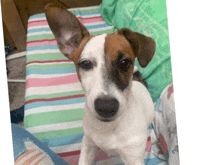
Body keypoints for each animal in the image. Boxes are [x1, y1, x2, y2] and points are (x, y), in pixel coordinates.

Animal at [44, 3, 155, 165]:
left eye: (124, 62)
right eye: (85, 64)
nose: (106, 107)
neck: (108, 128)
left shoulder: (132, 157)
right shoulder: (88, 144)